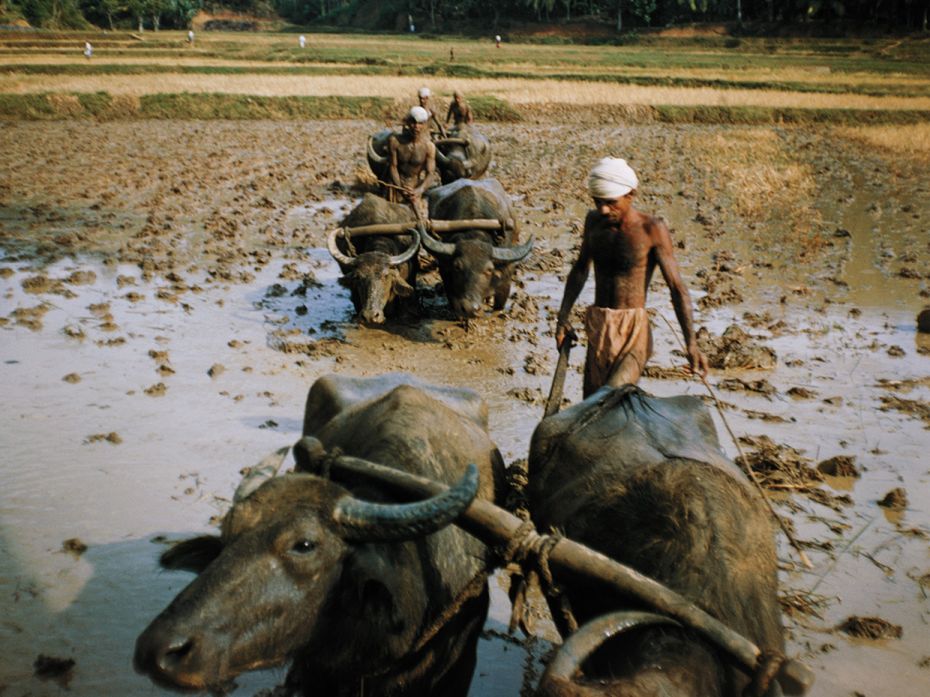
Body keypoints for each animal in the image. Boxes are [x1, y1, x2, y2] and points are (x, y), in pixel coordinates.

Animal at [420, 177, 528, 318]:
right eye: (457, 267)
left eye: (489, 270)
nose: (470, 307)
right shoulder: (446, 274)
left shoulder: (505, 279)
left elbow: (499, 304)